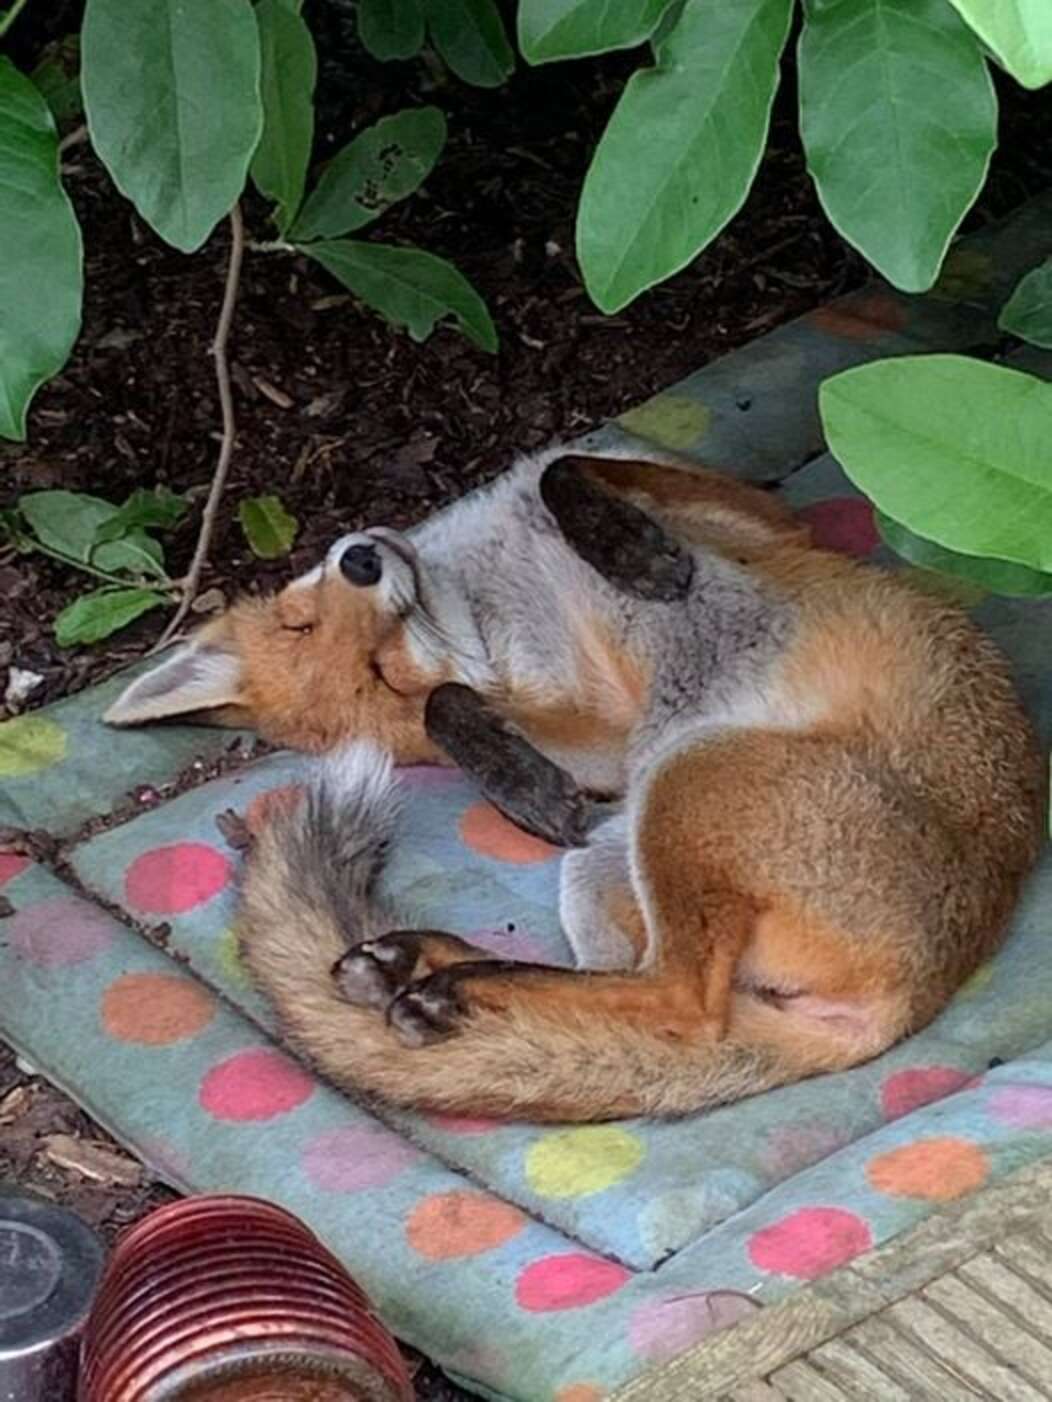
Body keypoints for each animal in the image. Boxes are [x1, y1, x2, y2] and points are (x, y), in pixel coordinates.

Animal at [105, 448, 1045, 1122]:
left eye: (319, 626)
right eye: (386, 676)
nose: (364, 558)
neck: (490, 590)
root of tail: (913, 999)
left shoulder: (738, 518)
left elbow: (567, 468)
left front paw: (633, 553)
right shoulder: (612, 745)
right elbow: (457, 705)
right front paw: (515, 777)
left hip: (638, 826)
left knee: (646, 1007)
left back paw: (437, 977)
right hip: (671, 796)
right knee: (673, 1003)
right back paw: (438, 976)